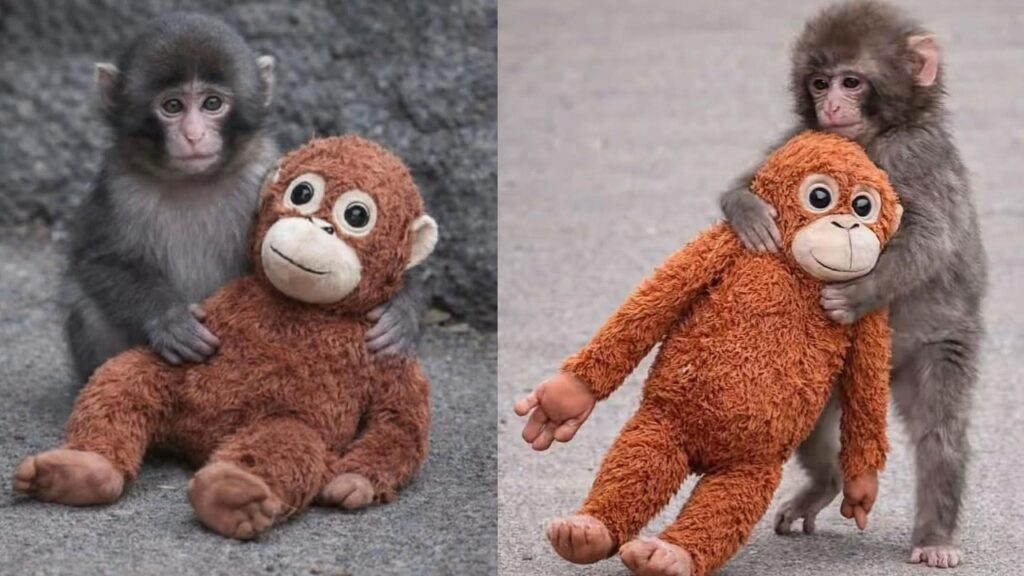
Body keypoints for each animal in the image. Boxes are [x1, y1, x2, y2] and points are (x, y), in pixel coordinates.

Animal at [61, 13, 422, 383]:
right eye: (172, 106)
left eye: (212, 104)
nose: (193, 135)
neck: (195, 181)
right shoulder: (118, 188)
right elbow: (99, 262)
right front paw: (170, 320)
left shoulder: (264, 172)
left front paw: (400, 307)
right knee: (87, 306)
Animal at [718, 1, 986, 568]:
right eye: (819, 83)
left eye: (852, 81)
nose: (832, 105)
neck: (872, 137)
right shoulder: (804, 141)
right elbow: (748, 182)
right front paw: (749, 211)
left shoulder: (916, 153)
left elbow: (930, 236)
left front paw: (856, 295)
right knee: (810, 420)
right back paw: (829, 482)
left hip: (935, 348)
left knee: (939, 433)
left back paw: (935, 536)